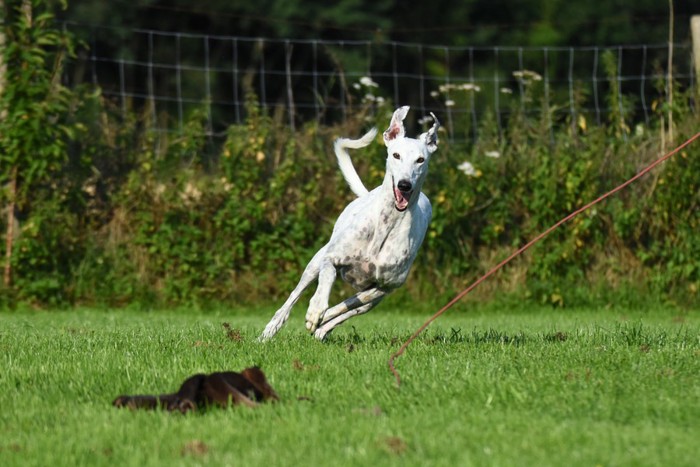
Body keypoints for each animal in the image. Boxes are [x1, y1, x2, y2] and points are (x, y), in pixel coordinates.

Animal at [260, 106, 440, 340]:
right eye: (396, 155)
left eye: (420, 159)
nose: (404, 185)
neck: (386, 224)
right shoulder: (331, 258)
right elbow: (327, 279)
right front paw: (316, 310)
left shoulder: (385, 287)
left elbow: (348, 305)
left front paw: (321, 318)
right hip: (315, 260)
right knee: (295, 294)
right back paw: (270, 330)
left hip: (374, 298)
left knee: (353, 308)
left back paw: (322, 329)